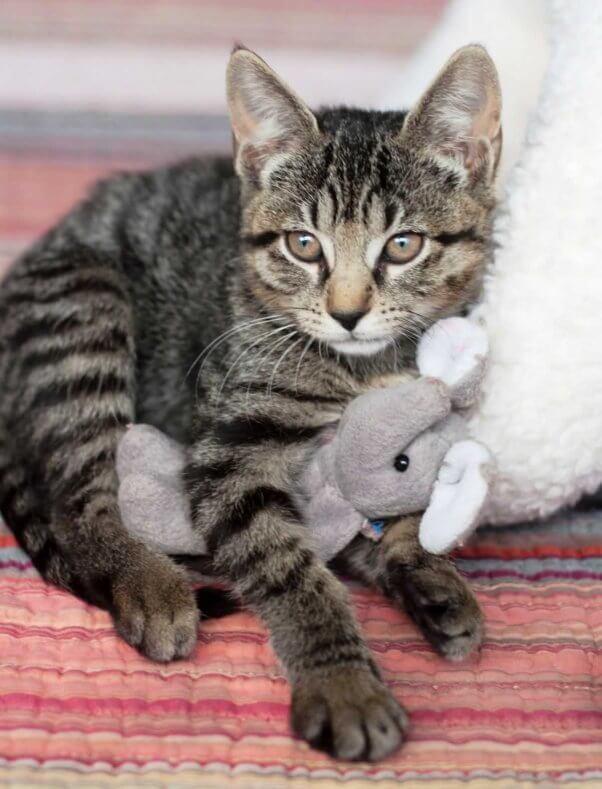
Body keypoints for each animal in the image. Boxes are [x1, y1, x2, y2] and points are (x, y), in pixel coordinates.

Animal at [0, 44, 500, 756]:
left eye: (403, 245)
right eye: (304, 245)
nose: (348, 313)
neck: (361, 371)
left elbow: (395, 515)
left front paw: (423, 568)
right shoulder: (232, 448)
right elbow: (289, 566)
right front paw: (342, 682)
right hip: (83, 309)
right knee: (81, 503)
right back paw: (149, 581)